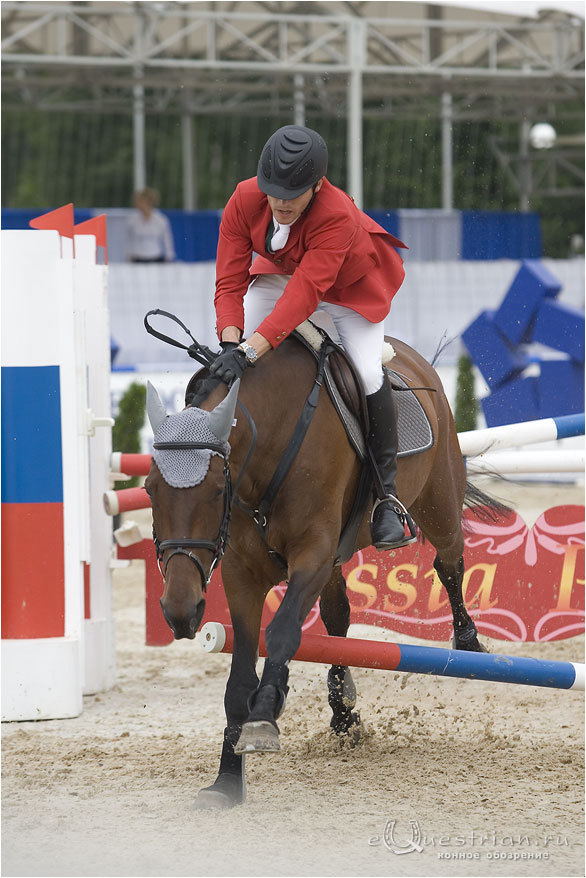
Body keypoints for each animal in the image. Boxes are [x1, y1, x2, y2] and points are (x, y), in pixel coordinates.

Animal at [144, 326, 500, 809]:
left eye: (217, 487)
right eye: (148, 488)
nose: (180, 612)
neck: (266, 451)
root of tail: (409, 354)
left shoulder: (312, 554)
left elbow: (282, 632)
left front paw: (265, 712)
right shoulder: (243, 574)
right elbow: (240, 673)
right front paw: (227, 780)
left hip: (438, 502)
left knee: (449, 562)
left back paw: (468, 643)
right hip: (337, 557)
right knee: (338, 618)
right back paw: (343, 712)